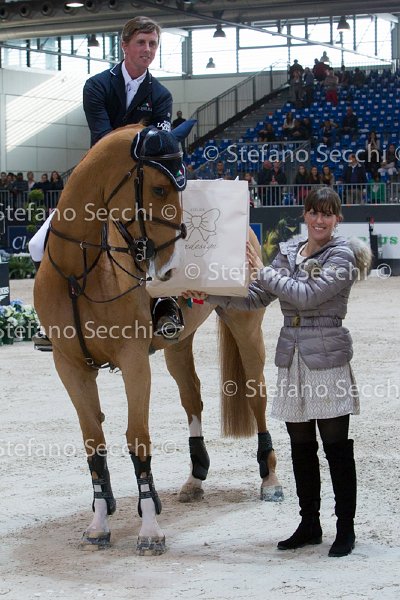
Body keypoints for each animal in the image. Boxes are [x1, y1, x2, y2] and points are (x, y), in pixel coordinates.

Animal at [34, 124, 282, 556]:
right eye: (160, 189)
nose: (169, 269)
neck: (77, 271)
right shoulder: (69, 365)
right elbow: (93, 442)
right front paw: (99, 521)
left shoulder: (133, 360)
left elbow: (138, 440)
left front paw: (149, 528)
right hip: (177, 344)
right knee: (193, 397)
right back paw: (195, 479)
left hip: (245, 327)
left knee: (257, 395)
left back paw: (270, 481)